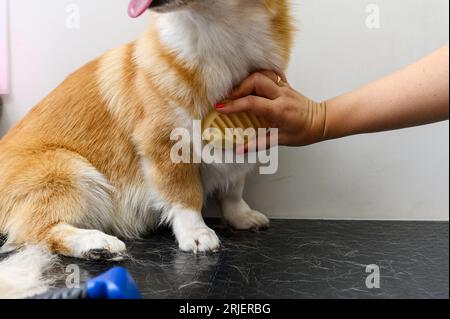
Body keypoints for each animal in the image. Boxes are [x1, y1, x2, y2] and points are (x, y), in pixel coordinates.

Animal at [0, 0, 294, 282]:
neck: (218, 36)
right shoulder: (165, 147)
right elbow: (185, 194)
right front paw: (196, 233)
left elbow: (233, 189)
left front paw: (242, 216)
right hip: (69, 169)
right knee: (36, 233)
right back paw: (97, 244)